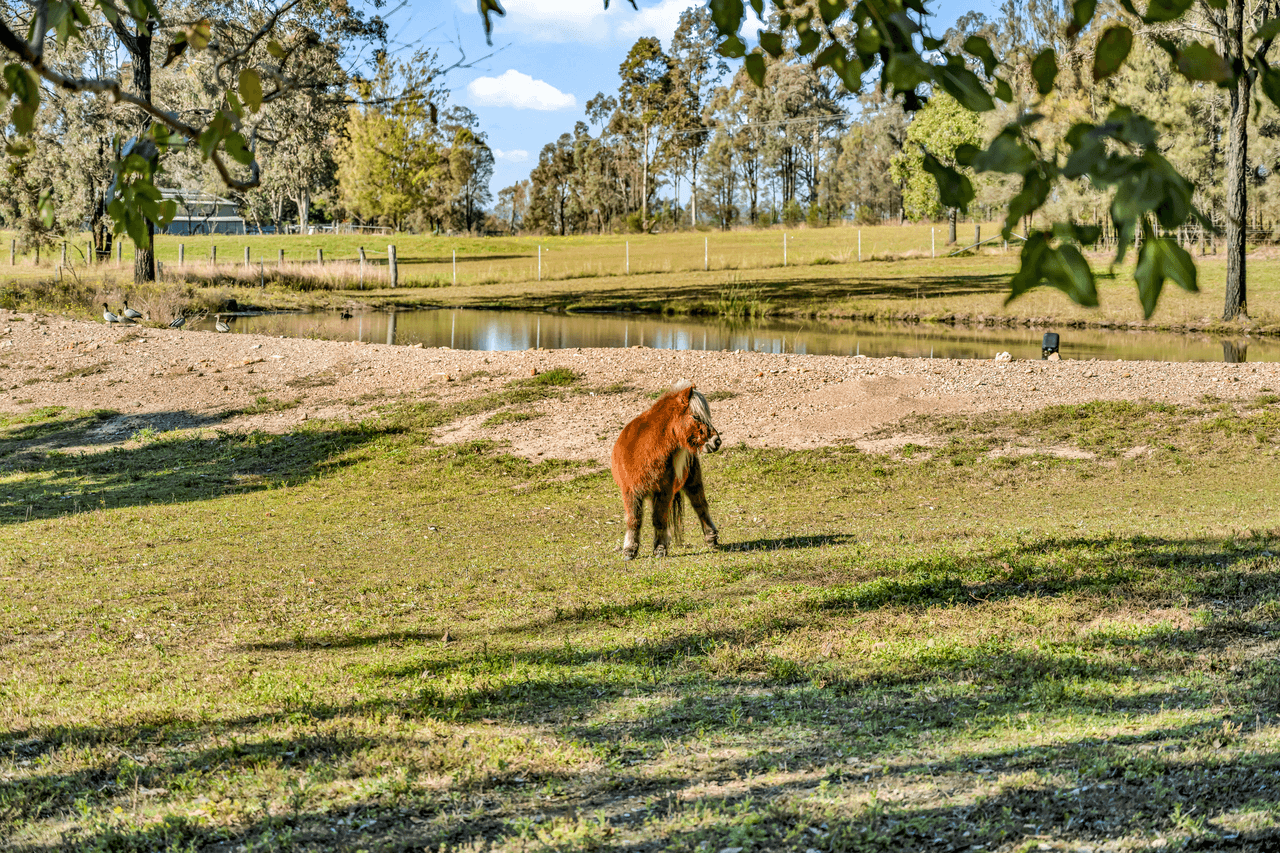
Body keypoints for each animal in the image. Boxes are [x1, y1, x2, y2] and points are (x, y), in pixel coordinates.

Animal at [609, 379, 721, 558]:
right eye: (696, 416)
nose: (717, 441)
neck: (645, 451)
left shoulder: (663, 491)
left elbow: (659, 519)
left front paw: (660, 547)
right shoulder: (630, 492)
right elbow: (634, 520)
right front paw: (630, 550)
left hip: (692, 483)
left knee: (700, 506)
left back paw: (711, 538)